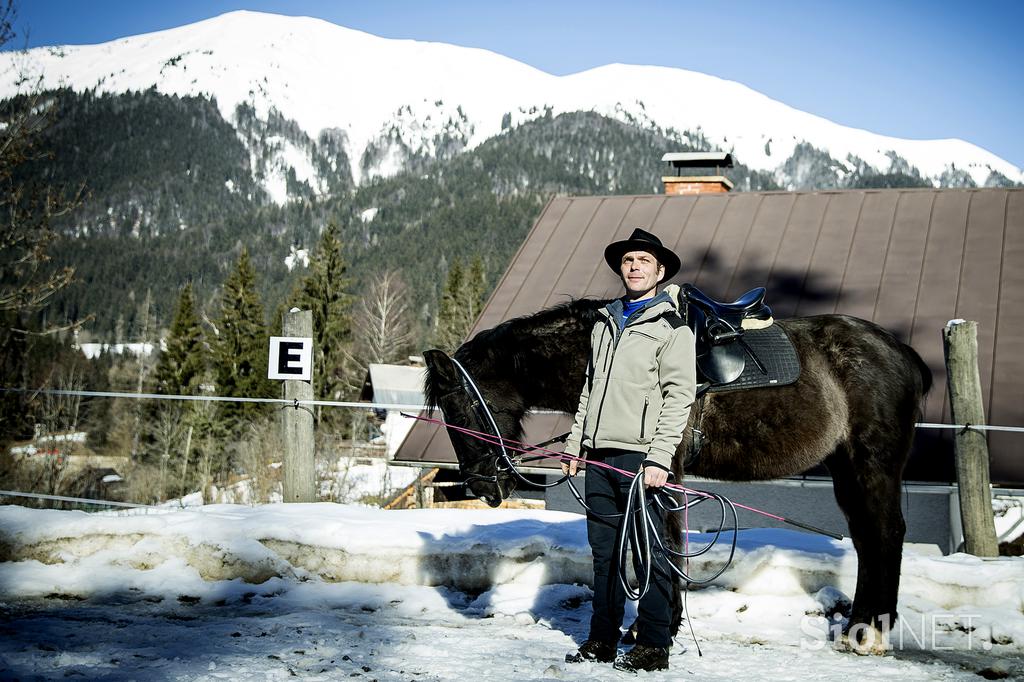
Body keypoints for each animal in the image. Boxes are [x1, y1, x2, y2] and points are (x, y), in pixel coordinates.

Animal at [419, 301, 933, 651]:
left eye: (460, 405)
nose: (483, 485)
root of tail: (901, 352)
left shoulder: (662, 474)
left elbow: (664, 544)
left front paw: (656, 631)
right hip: (847, 468)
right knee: (868, 538)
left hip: (872, 464)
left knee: (885, 533)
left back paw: (869, 633)